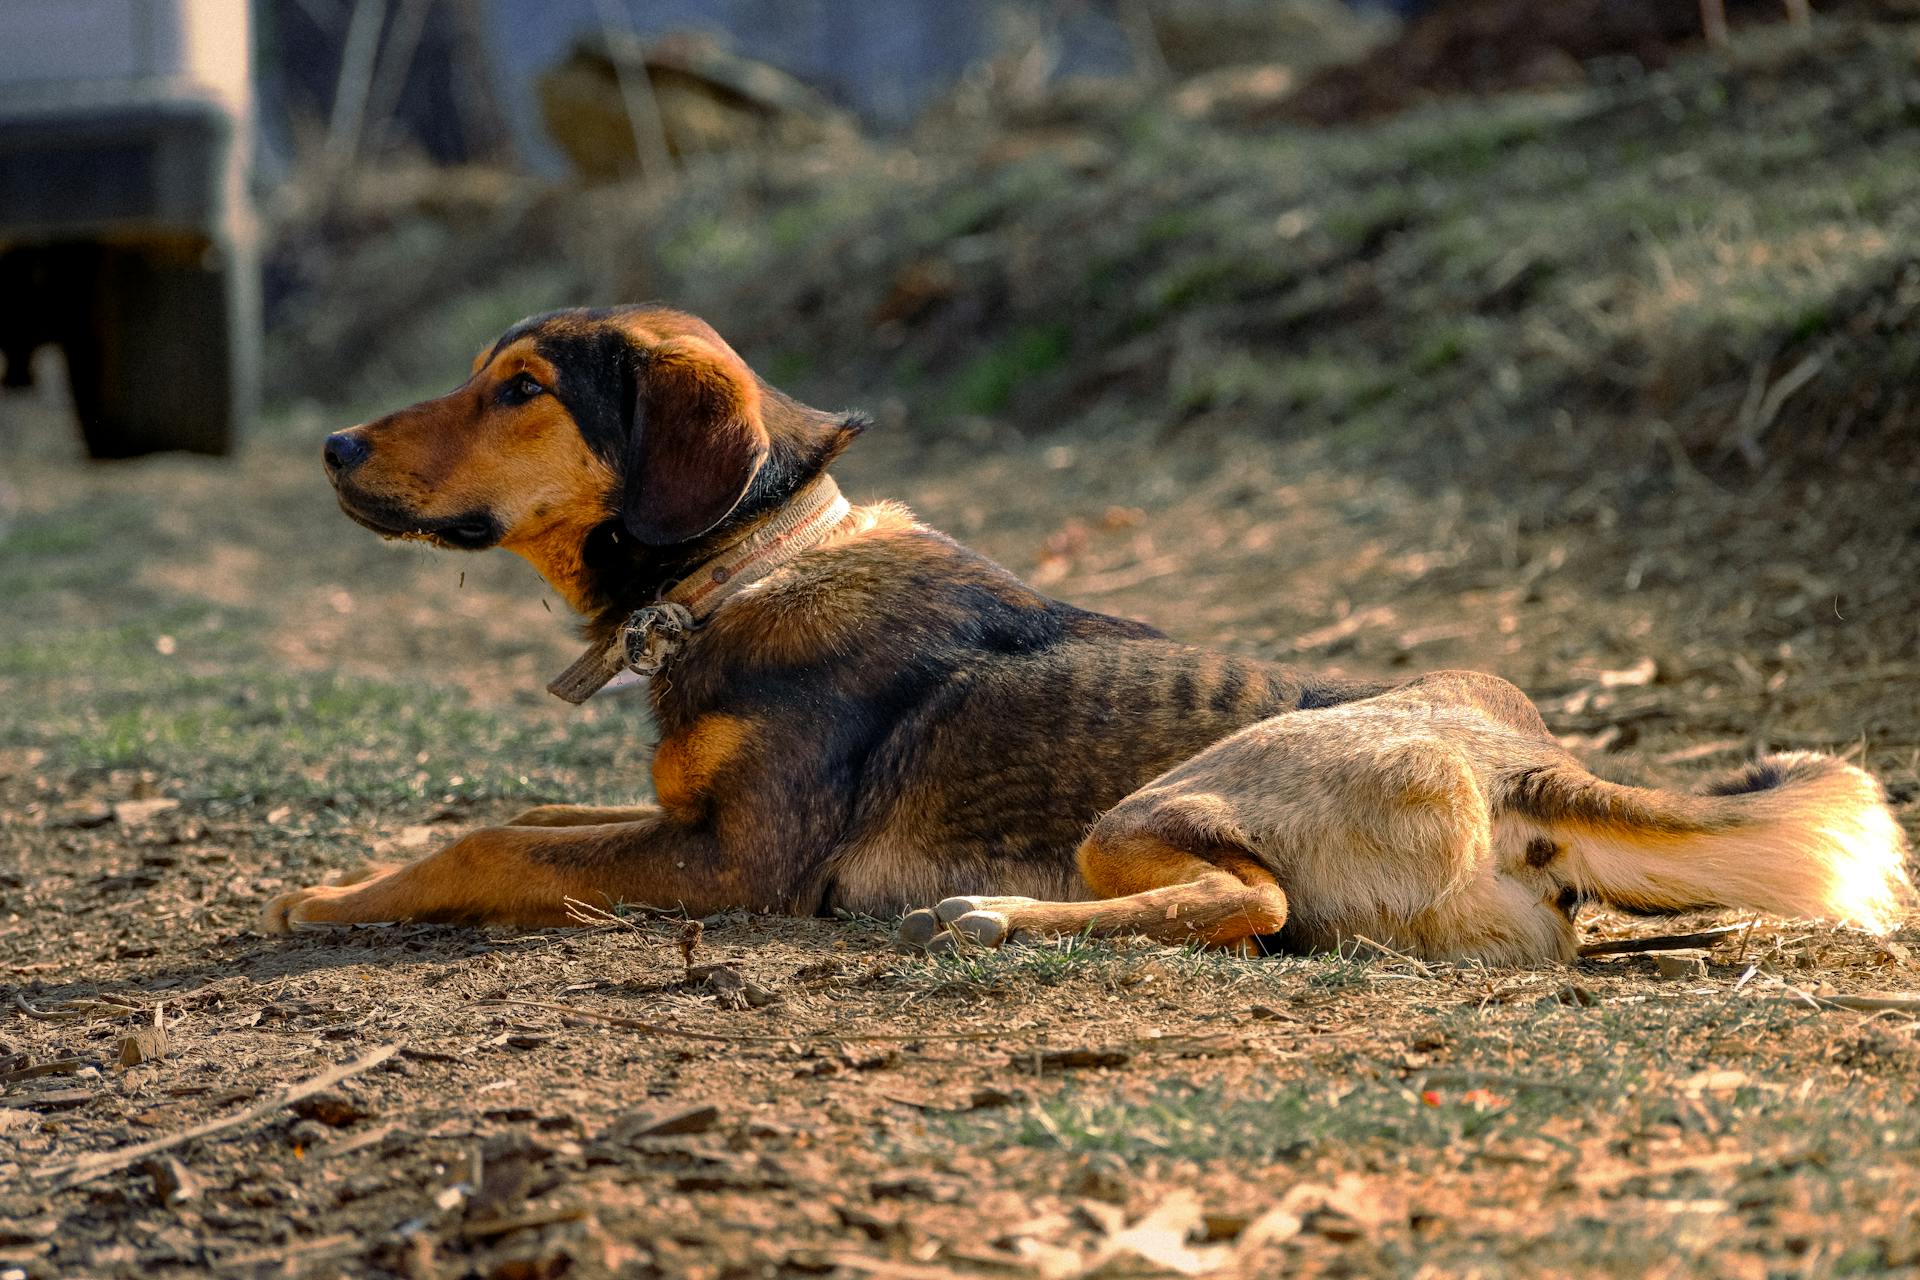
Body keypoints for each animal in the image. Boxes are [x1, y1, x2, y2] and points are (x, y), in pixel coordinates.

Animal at [266, 305, 1904, 959]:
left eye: (522, 388)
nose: (329, 446)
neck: (748, 564)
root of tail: (1520, 767)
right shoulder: (671, 823)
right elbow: (515, 817)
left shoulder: (738, 865)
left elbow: (497, 843)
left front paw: (328, 899)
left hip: (1158, 802)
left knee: (1245, 903)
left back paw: (994, 917)